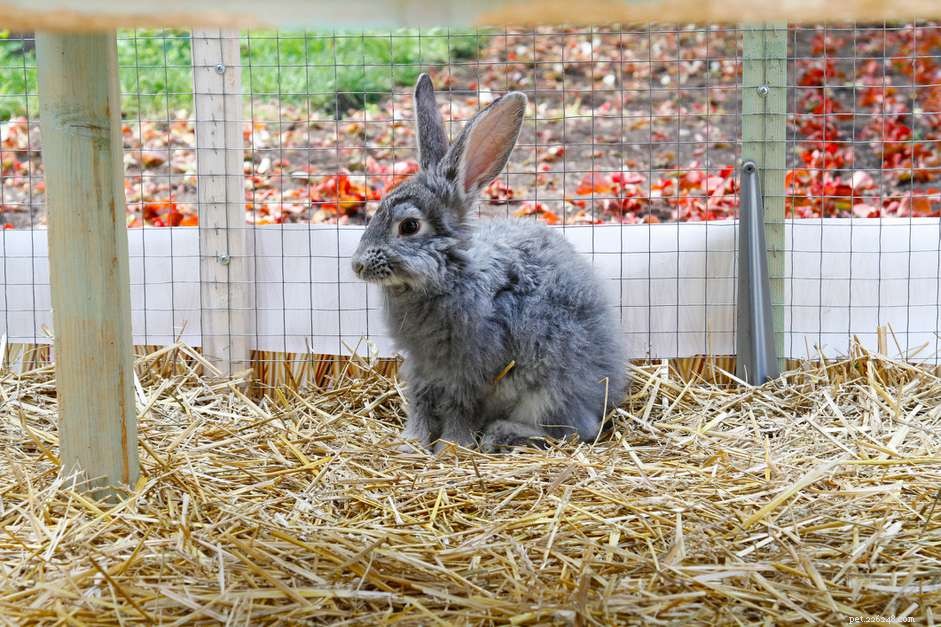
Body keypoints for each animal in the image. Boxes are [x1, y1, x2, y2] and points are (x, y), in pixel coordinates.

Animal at [351, 74, 626, 453]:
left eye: (409, 226)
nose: (357, 265)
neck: (449, 275)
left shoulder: (469, 371)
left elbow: (459, 408)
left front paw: (451, 447)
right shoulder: (421, 368)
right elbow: (420, 402)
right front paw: (411, 444)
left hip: (549, 391)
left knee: (574, 430)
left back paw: (501, 434)